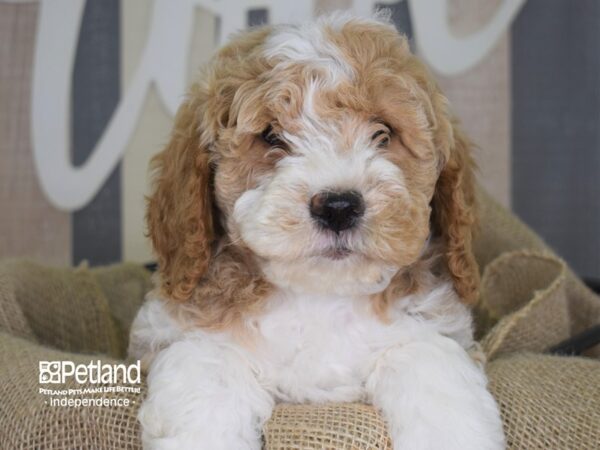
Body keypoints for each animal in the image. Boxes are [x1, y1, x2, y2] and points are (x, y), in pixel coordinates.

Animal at [130, 12, 506, 448]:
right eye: (271, 136)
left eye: (383, 133)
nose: (338, 207)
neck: (320, 296)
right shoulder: (189, 336)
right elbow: (208, 382)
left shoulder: (428, 331)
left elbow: (431, 372)